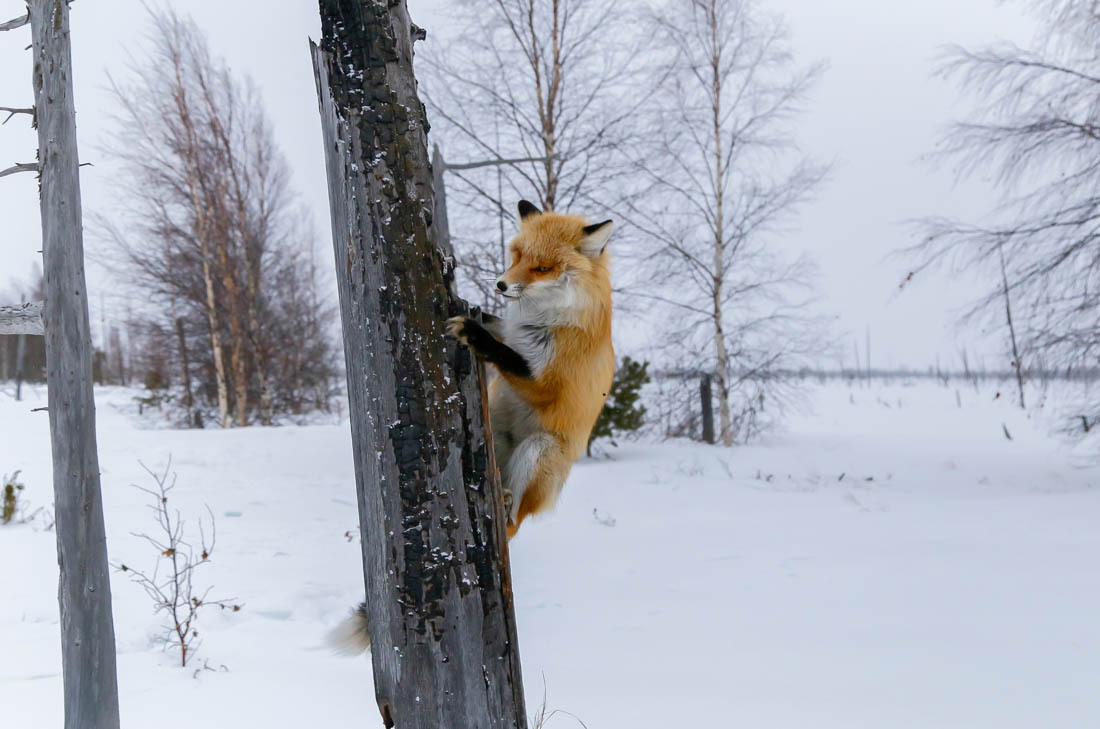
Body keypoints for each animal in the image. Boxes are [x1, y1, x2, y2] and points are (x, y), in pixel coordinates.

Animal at [446, 200, 620, 536]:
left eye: (543, 268)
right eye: (517, 255)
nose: (500, 285)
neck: (542, 319)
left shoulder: (547, 385)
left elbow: (505, 356)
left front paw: (475, 335)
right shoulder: (511, 329)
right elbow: (496, 323)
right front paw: (471, 308)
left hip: (540, 447)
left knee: (514, 521)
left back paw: (506, 504)